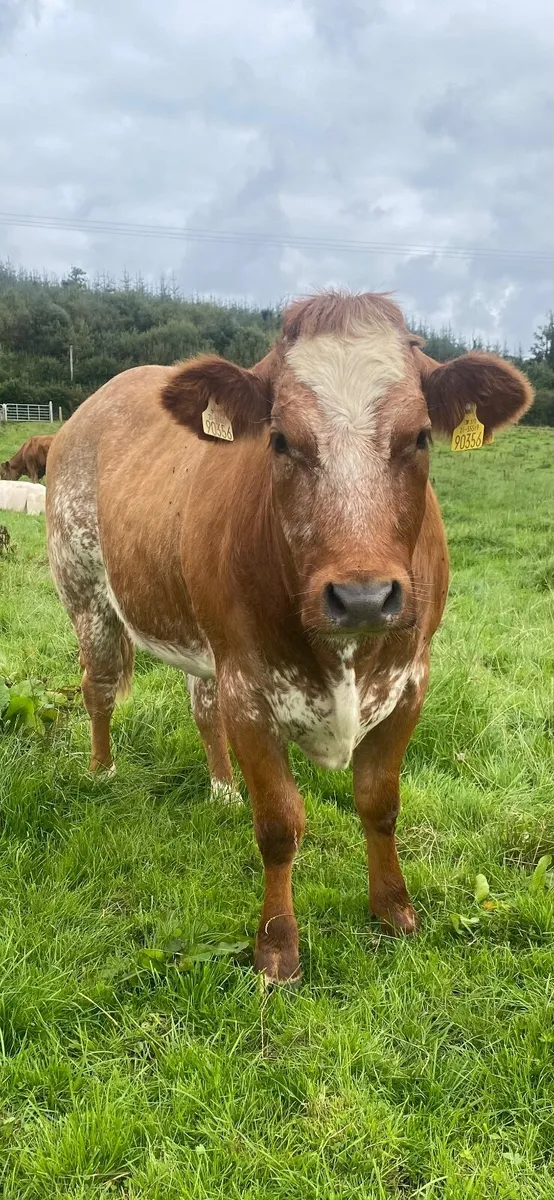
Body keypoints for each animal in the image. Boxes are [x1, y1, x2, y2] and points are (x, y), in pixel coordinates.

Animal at [46, 292, 532, 984]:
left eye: (418, 437)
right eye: (279, 439)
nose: (363, 596)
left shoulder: (412, 680)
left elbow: (380, 802)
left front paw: (394, 909)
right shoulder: (248, 687)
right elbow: (279, 822)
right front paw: (277, 946)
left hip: (199, 641)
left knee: (200, 707)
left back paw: (223, 788)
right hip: (87, 594)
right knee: (100, 686)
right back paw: (102, 771)